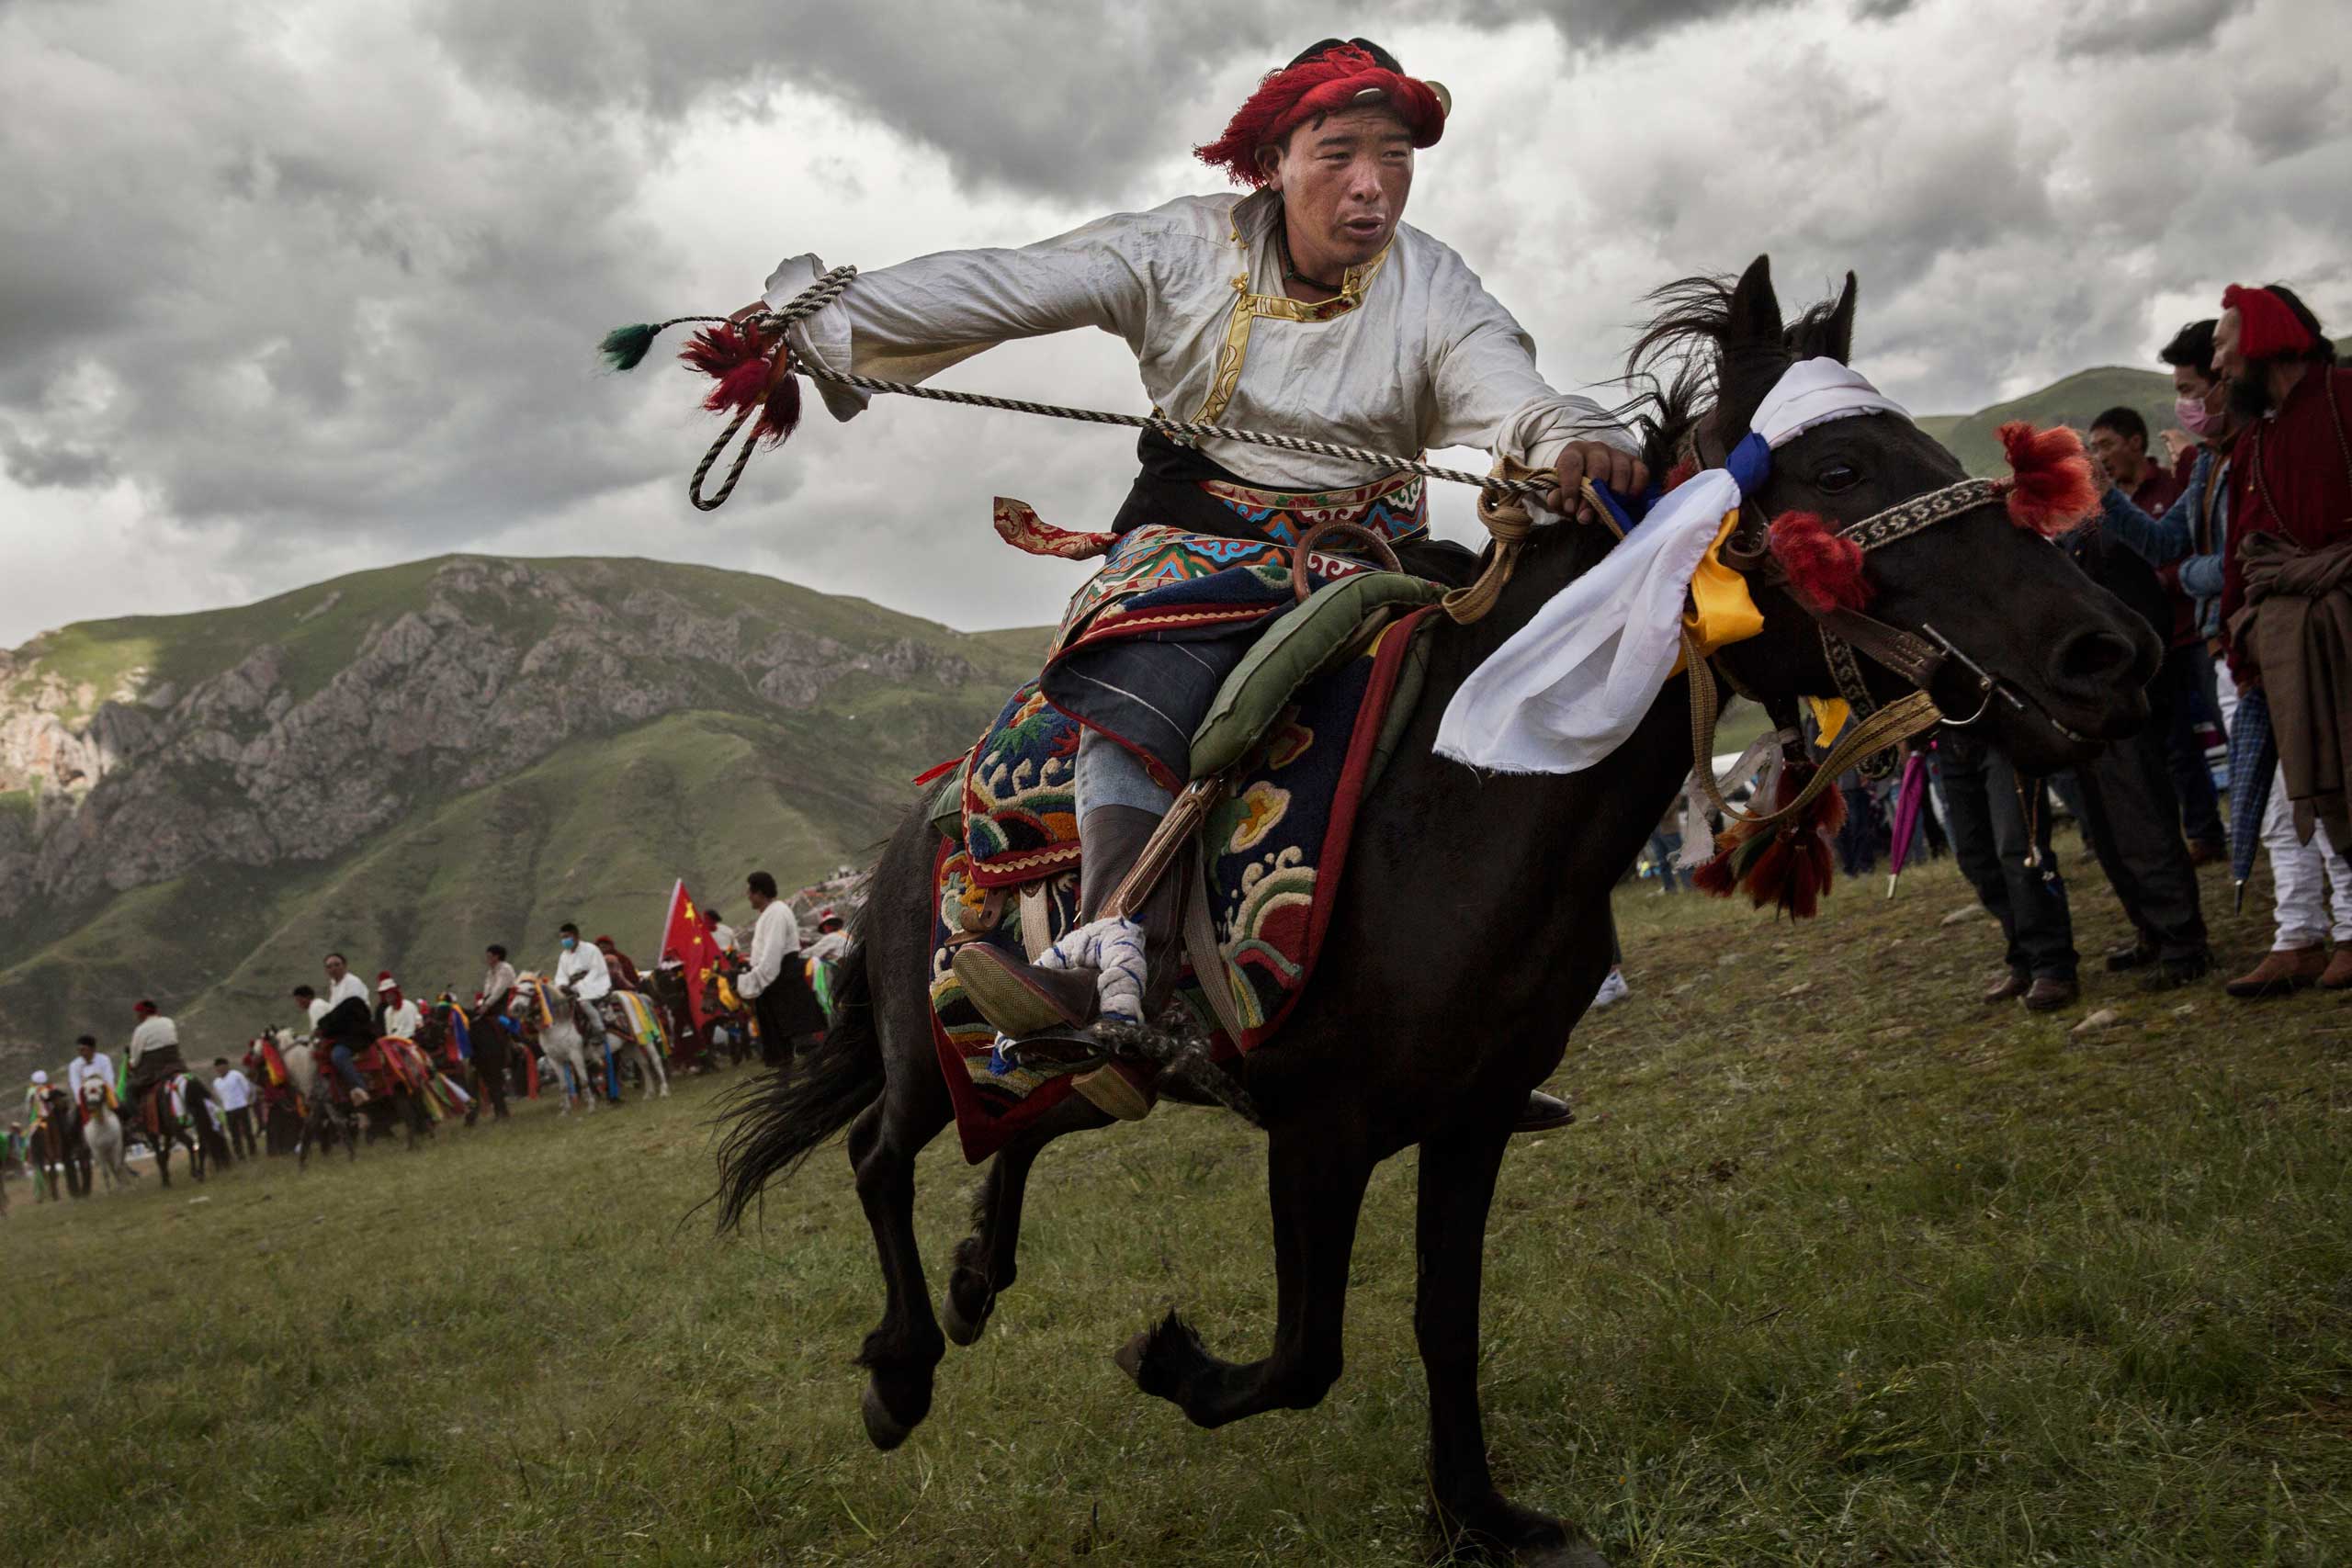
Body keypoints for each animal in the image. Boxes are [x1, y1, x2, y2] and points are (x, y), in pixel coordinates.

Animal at [715, 263, 2164, 1561]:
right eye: (1844, 473)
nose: (2109, 654)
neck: (1469, 792)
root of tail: (903, 837)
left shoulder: (1472, 1116)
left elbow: (1439, 1322)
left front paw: (1477, 1518)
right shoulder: (1320, 1127)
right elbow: (1304, 1352)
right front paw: (1170, 1360)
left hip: (1048, 1060)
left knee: (1028, 1121)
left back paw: (975, 1275)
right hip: (922, 1044)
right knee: (881, 1154)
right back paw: (900, 1369)